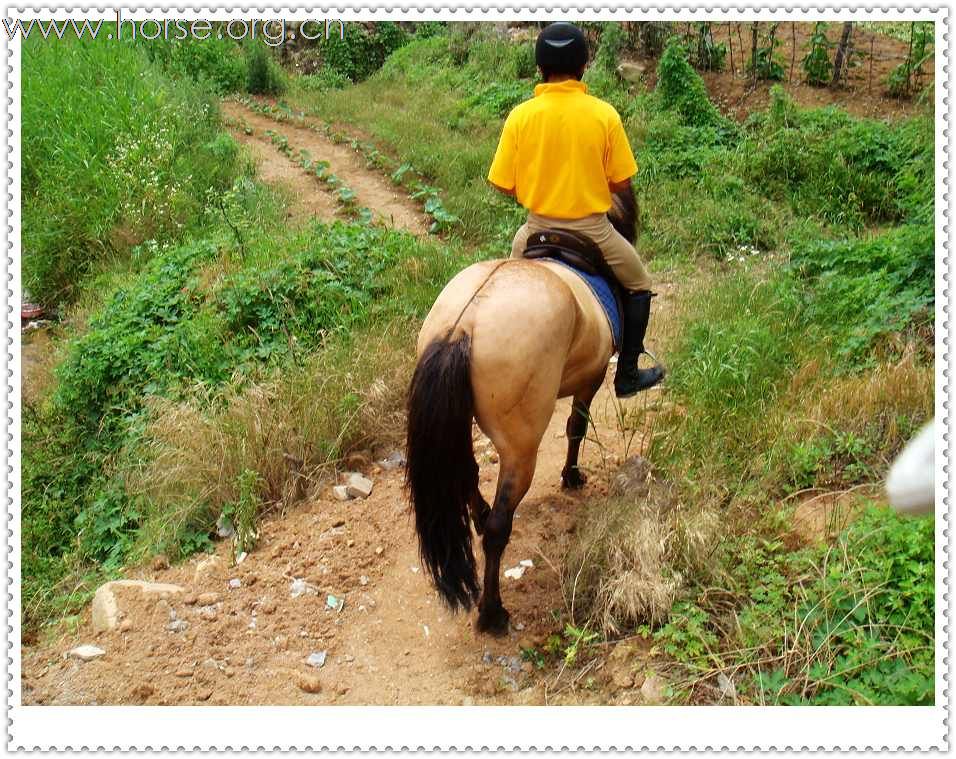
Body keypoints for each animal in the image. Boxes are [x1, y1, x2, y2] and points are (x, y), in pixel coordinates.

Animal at [406, 190, 640, 636]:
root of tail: (465, 325)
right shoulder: (593, 376)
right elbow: (576, 427)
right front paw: (571, 476)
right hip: (521, 447)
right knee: (499, 527)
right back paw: (492, 611)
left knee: (467, 475)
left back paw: (479, 518)